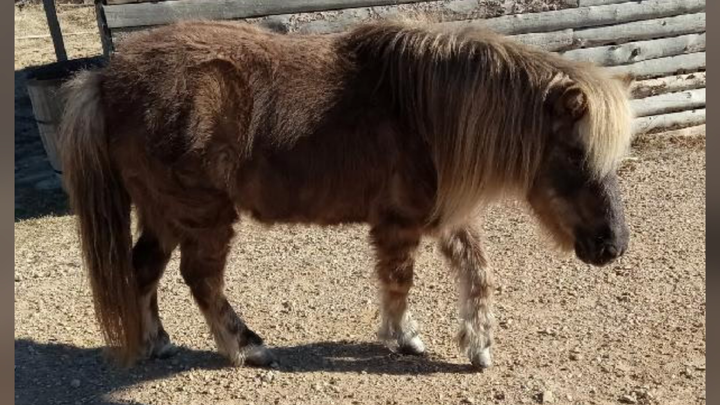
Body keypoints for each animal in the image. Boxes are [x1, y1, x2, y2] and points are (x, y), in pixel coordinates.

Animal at [58, 18, 634, 370]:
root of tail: (105, 80)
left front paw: (478, 344)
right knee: (200, 279)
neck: (423, 114)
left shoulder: (444, 218)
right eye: (576, 154)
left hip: (163, 215)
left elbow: (477, 272)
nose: (613, 245)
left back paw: (158, 342)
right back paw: (248, 348)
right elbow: (399, 282)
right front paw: (405, 338)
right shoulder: (400, 223)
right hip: (203, 216)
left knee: (143, 270)